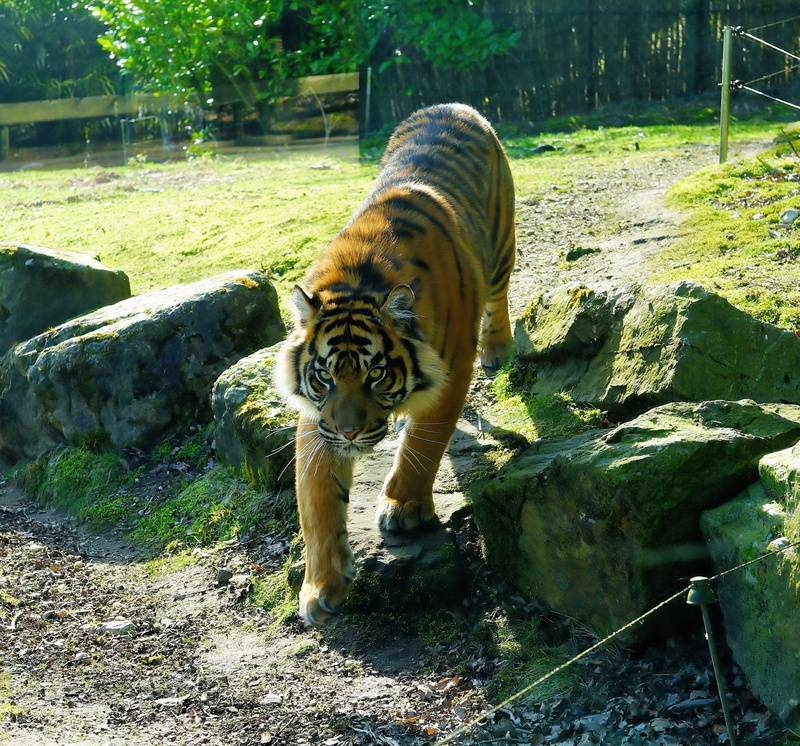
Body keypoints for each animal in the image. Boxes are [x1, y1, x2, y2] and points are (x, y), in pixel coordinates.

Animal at [275, 103, 516, 626]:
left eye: (375, 374)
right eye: (324, 376)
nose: (348, 433)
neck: (358, 277)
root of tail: (454, 105)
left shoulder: (452, 370)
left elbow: (424, 441)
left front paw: (404, 507)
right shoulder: (317, 417)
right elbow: (315, 496)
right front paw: (320, 587)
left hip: (502, 246)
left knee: (501, 293)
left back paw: (499, 347)